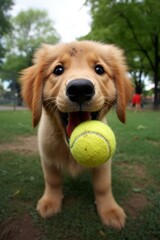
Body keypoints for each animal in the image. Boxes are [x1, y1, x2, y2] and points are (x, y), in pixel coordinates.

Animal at [20, 40, 132, 229]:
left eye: (99, 69)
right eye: (58, 70)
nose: (80, 88)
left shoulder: (104, 164)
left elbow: (103, 185)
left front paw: (110, 210)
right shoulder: (47, 157)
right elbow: (52, 180)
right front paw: (50, 202)